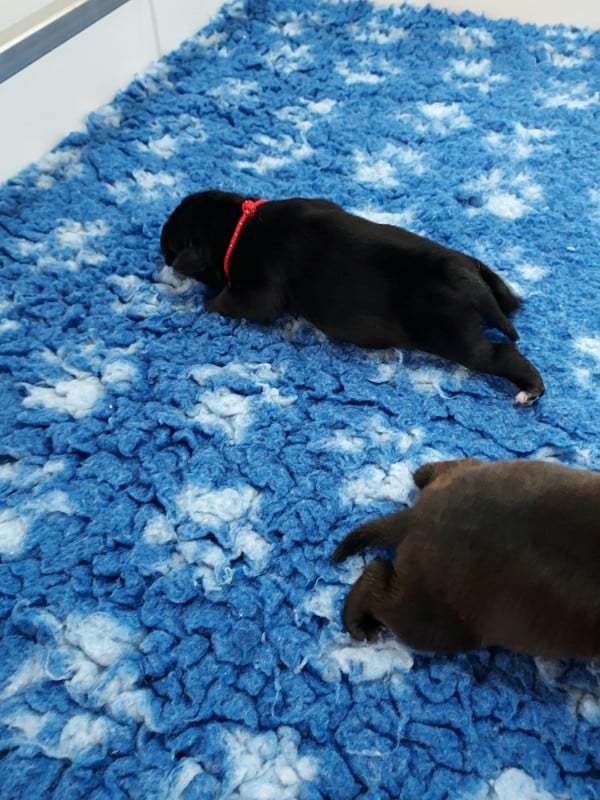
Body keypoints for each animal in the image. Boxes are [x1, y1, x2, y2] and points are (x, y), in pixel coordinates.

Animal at [161, 190, 544, 403]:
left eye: (168, 246)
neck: (237, 225)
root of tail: (468, 278)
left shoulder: (257, 291)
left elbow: (236, 302)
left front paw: (206, 302)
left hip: (454, 335)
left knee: (500, 354)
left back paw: (529, 390)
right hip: (483, 279)